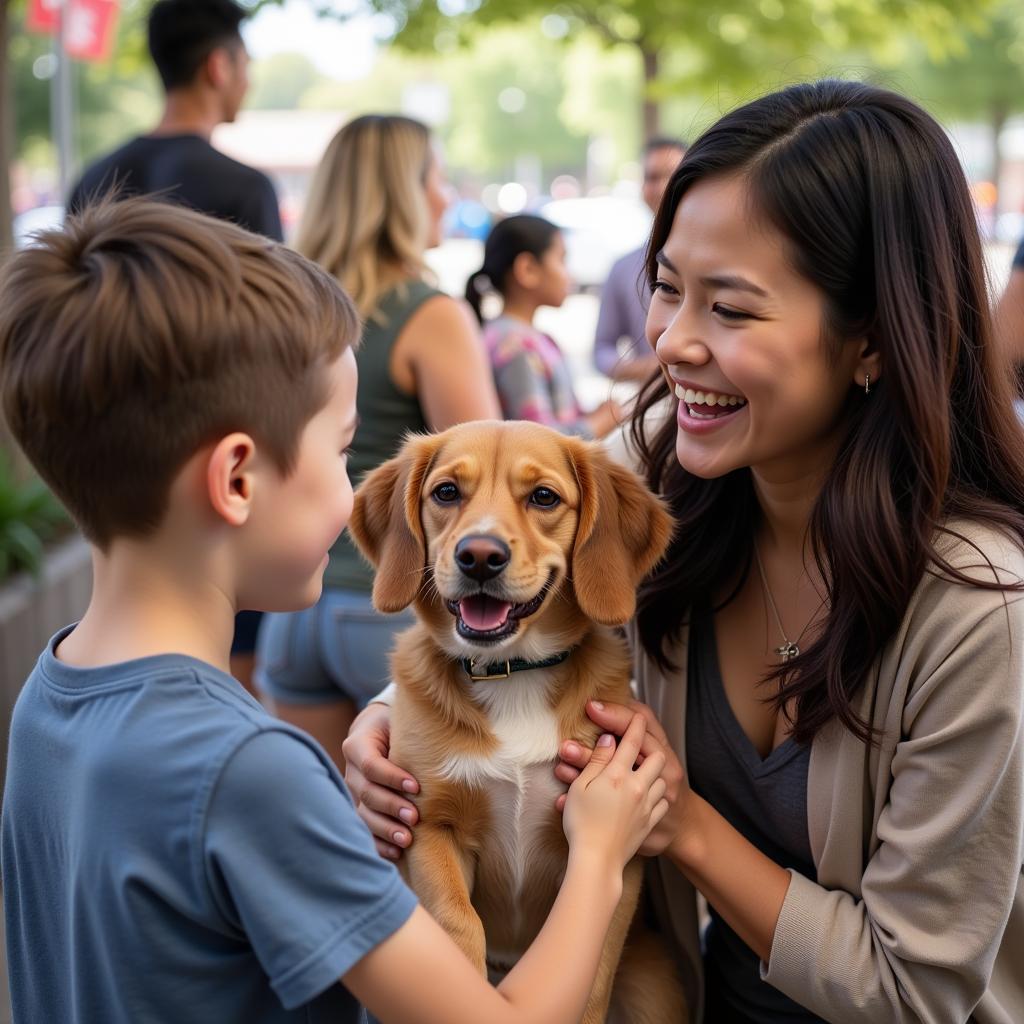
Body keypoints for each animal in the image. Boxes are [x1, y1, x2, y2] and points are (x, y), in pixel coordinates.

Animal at [350, 419, 688, 1019]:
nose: (480, 556)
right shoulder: (431, 827)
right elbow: (459, 927)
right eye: (446, 492)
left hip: (654, 988)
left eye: (544, 497)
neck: (512, 674)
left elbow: (592, 976)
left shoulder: (616, 862)